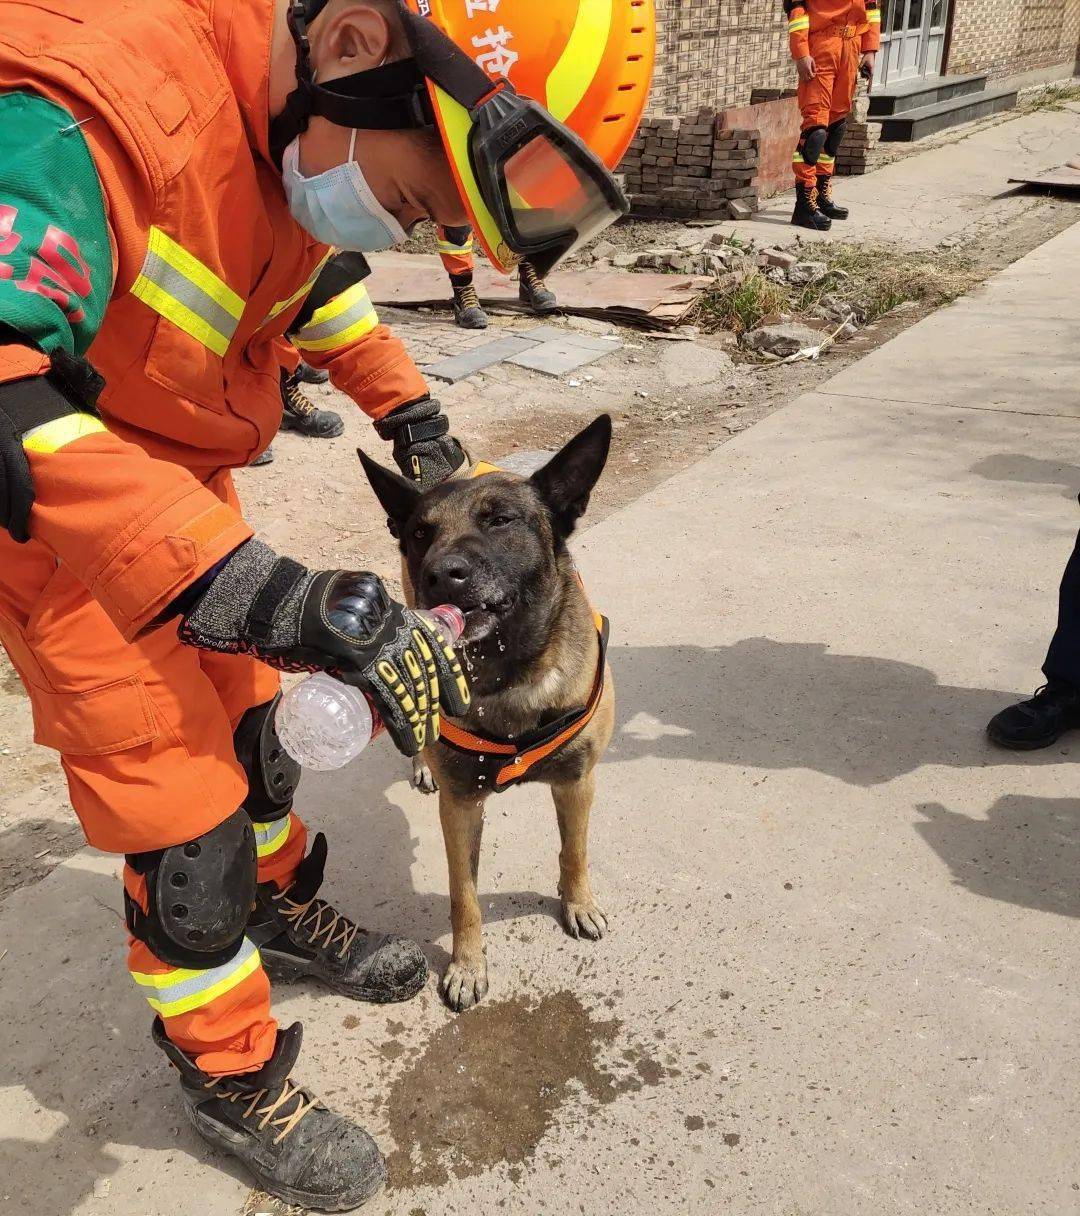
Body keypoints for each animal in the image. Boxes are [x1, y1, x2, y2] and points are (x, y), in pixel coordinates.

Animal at [360, 423, 615, 1011]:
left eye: (500, 520)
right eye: (421, 532)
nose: (440, 575)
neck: (508, 677)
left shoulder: (578, 781)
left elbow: (575, 851)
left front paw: (578, 903)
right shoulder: (461, 807)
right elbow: (464, 896)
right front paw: (467, 965)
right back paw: (422, 764)